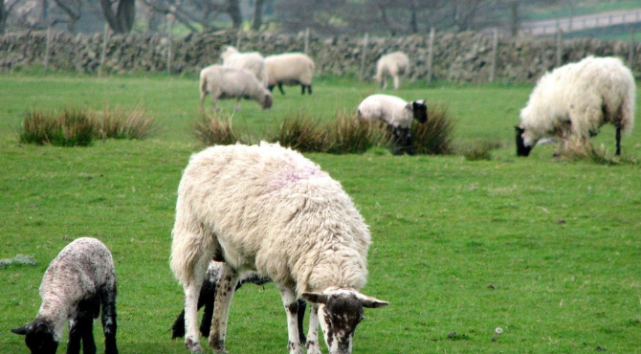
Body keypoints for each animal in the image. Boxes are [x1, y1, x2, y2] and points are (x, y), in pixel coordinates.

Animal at [170, 260, 308, 342]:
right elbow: (299, 308)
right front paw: (301, 338)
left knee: (211, 302)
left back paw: (205, 331)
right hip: (215, 274)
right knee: (201, 299)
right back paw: (177, 332)